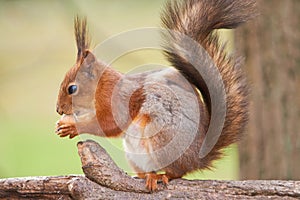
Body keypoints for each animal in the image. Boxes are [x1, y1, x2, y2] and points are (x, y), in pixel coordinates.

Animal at [55, 0, 255, 191]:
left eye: (72, 89)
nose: (58, 109)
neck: (102, 86)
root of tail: (198, 157)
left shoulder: (119, 99)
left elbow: (108, 124)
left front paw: (72, 126)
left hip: (162, 139)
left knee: (177, 172)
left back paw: (161, 176)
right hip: (134, 155)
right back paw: (146, 175)